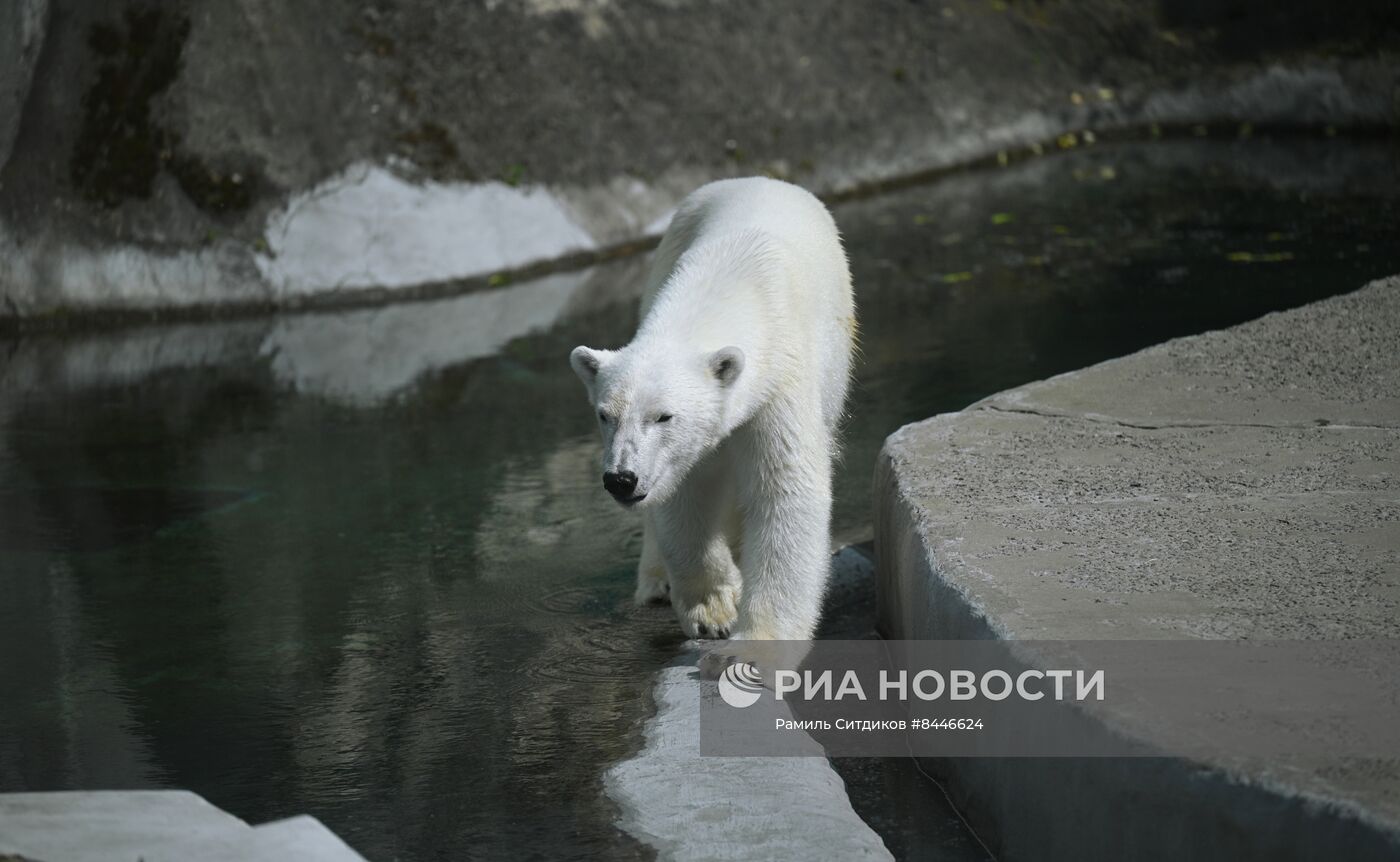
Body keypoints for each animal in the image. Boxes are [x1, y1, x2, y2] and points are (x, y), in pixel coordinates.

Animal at [568, 178, 851, 640]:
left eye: (663, 416)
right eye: (604, 415)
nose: (621, 479)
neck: (731, 278)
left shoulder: (779, 384)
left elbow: (784, 490)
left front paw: (754, 639)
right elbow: (684, 493)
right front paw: (712, 611)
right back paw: (656, 582)